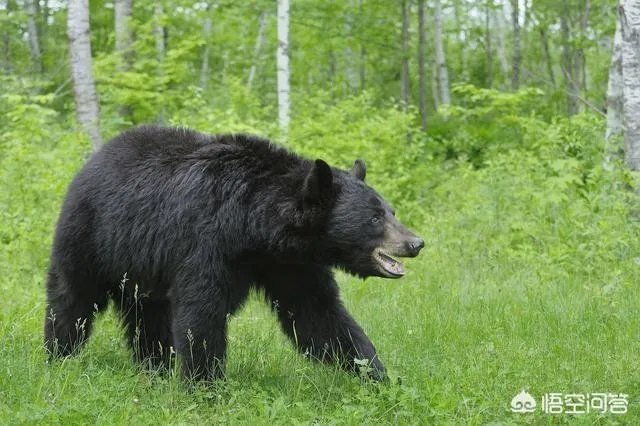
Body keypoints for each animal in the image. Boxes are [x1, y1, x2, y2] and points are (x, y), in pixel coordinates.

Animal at [44, 125, 424, 383]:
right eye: (374, 218)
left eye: (390, 210)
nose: (416, 242)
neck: (255, 228)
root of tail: (92, 160)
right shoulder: (207, 242)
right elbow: (202, 312)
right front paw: (204, 386)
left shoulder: (289, 264)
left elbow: (318, 315)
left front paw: (378, 376)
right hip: (91, 238)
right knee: (71, 299)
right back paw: (58, 355)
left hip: (140, 268)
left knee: (148, 317)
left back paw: (154, 367)